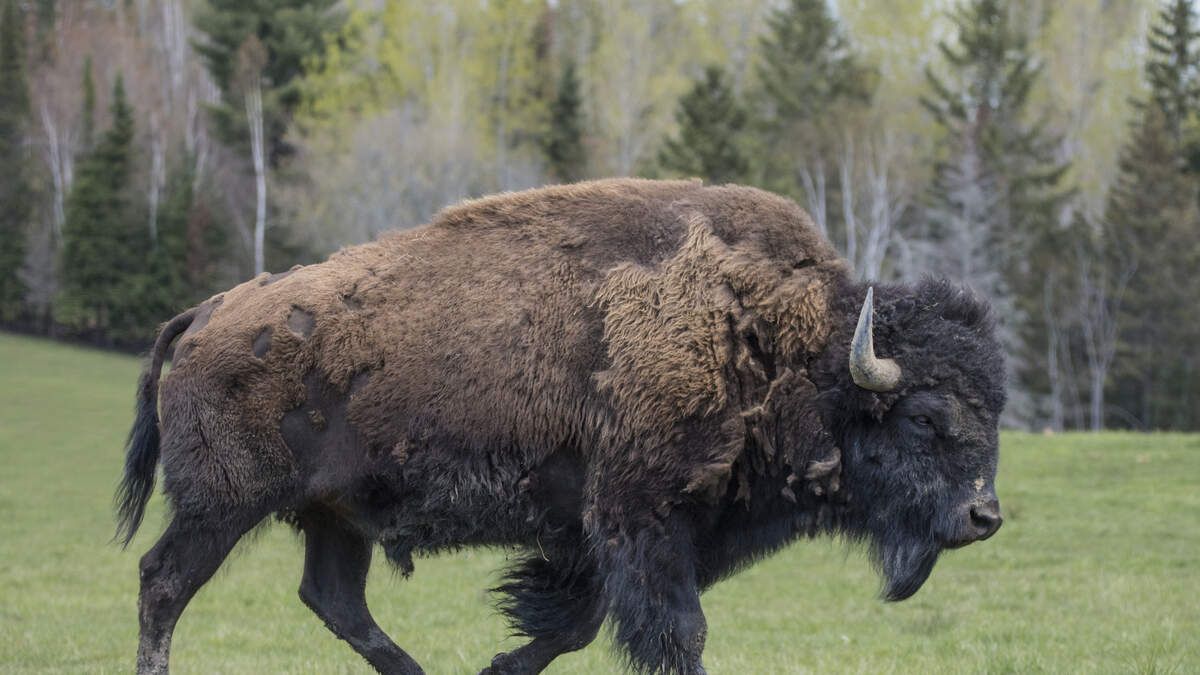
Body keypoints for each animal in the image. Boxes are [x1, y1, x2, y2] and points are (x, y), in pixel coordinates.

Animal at [119, 176, 1003, 667]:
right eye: (925, 417)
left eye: (996, 410)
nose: (984, 515)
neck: (782, 345)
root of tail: (206, 312)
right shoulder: (642, 520)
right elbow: (676, 632)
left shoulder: (615, 538)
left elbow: (576, 625)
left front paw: (497, 668)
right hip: (222, 505)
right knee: (164, 582)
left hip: (334, 514)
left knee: (335, 600)